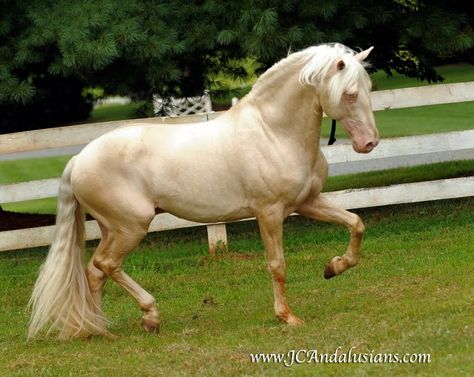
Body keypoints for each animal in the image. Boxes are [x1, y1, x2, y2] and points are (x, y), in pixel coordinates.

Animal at [28, 43, 378, 338]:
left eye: (368, 89)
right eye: (349, 94)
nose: (369, 143)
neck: (273, 132)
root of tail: (79, 159)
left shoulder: (307, 202)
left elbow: (356, 223)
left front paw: (334, 267)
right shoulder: (269, 212)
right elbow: (277, 264)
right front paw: (287, 317)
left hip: (112, 228)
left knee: (94, 271)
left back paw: (101, 329)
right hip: (131, 227)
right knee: (106, 265)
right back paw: (149, 317)